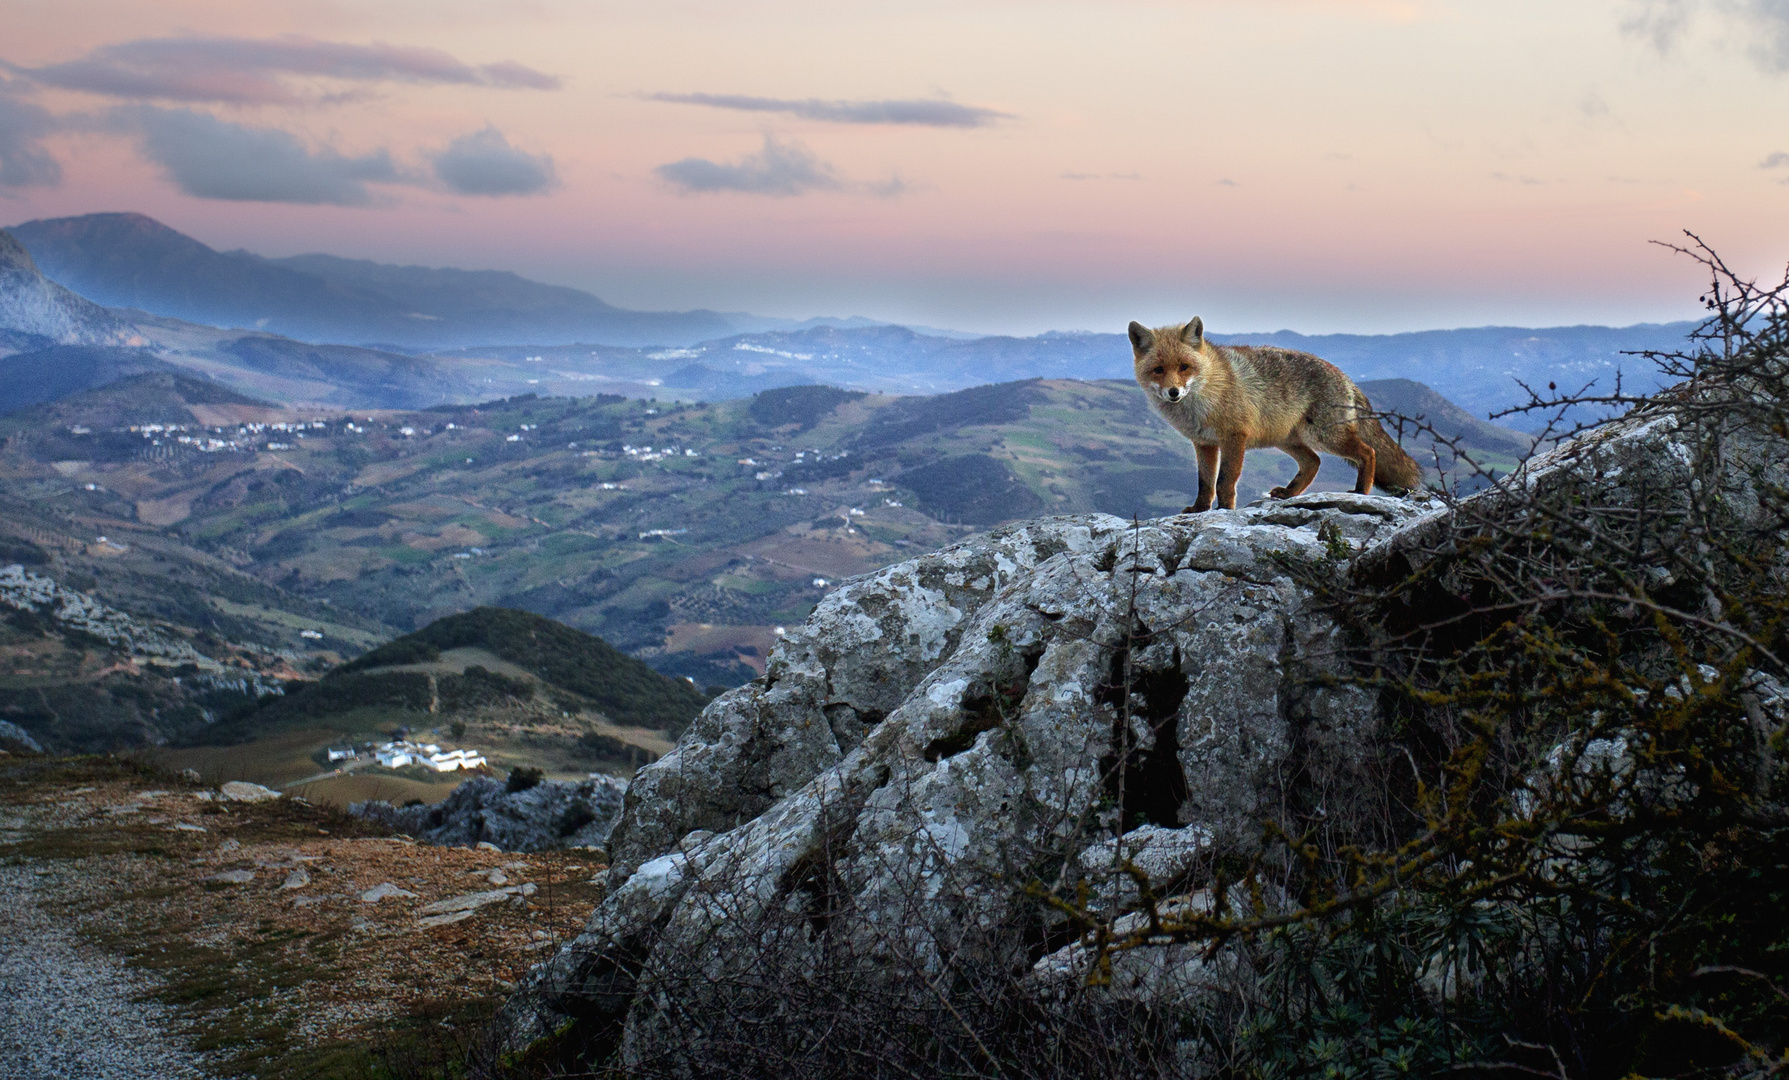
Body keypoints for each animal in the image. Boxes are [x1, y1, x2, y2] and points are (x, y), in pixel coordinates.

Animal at [1137, 316, 1416, 514]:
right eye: (1158, 370)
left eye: (1184, 367)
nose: (1173, 392)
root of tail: (1345, 376)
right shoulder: (1204, 444)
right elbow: (1205, 484)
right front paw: (1200, 510)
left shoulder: (1234, 438)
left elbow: (1225, 481)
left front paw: (1226, 510)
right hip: (1288, 440)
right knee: (1313, 462)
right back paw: (1289, 493)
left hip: (1324, 436)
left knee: (1369, 452)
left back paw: (1360, 492)